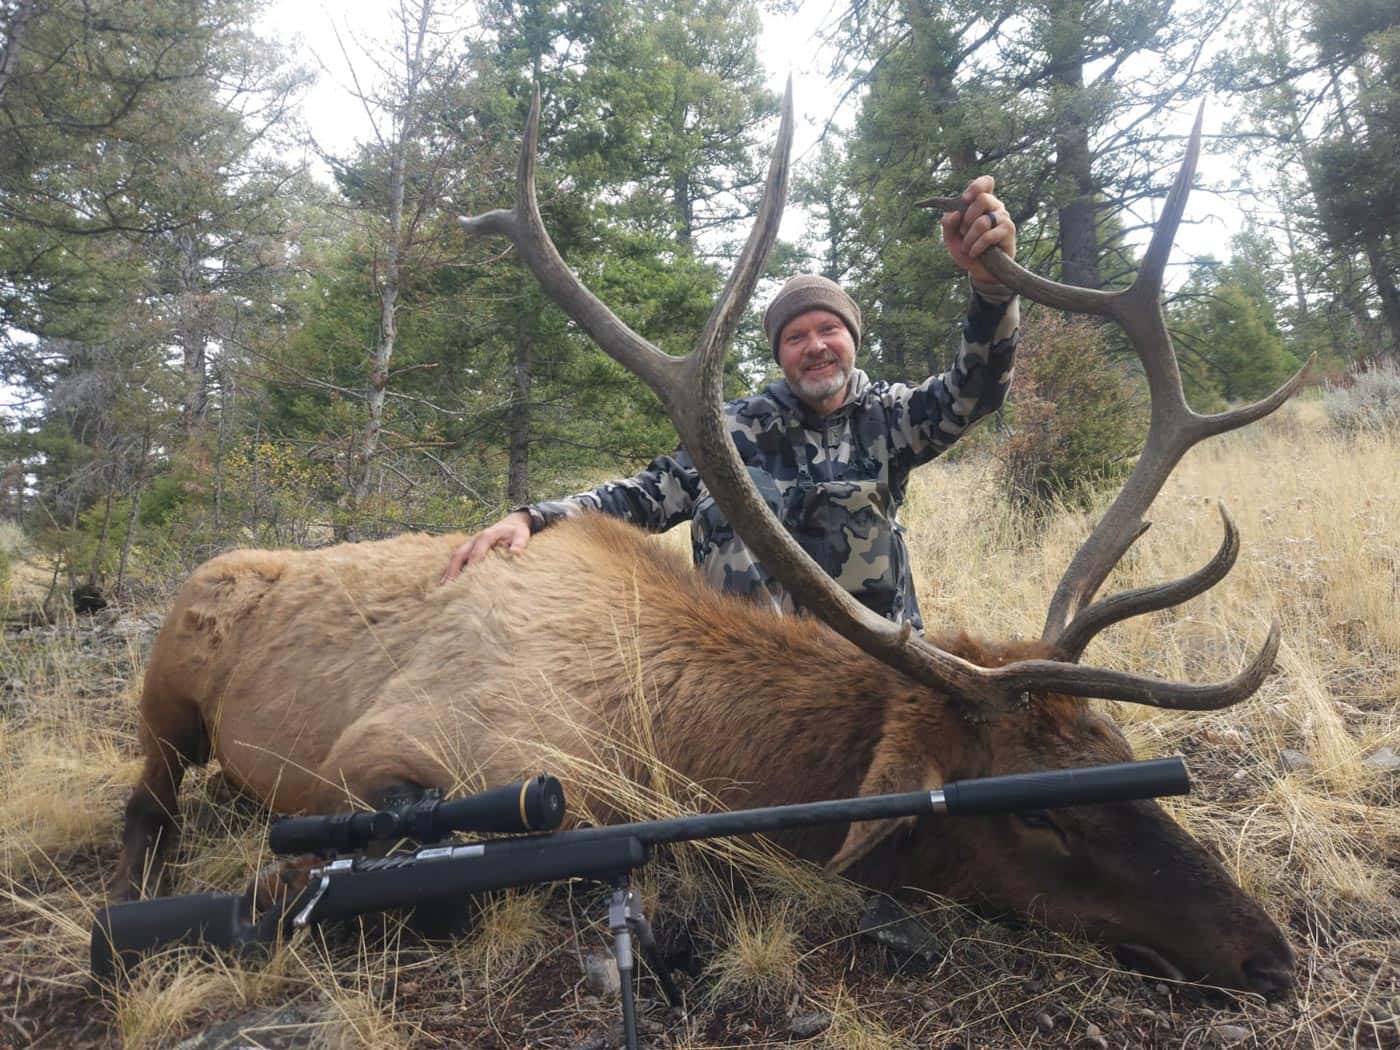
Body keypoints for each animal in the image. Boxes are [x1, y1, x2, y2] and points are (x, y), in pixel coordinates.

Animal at [113, 85, 1306, 998]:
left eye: (1117, 750)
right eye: (1043, 817)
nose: (1271, 955)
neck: (673, 736)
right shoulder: (384, 756)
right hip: (167, 683)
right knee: (147, 796)